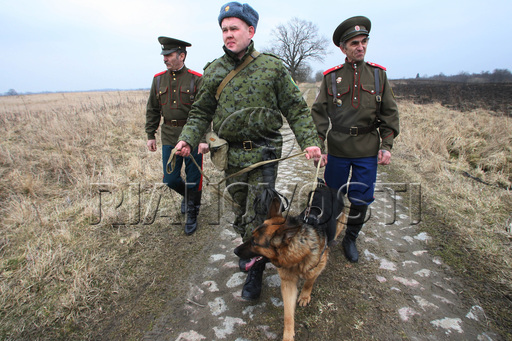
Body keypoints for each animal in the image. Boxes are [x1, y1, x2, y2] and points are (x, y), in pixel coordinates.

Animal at [234, 183, 346, 340]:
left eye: (255, 243)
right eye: (251, 237)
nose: (235, 251)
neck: (297, 254)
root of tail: (327, 187)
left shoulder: (317, 268)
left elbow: (309, 282)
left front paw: (304, 295)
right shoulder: (288, 283)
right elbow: (288, 314)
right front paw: (288, 335)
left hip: (339, 223)